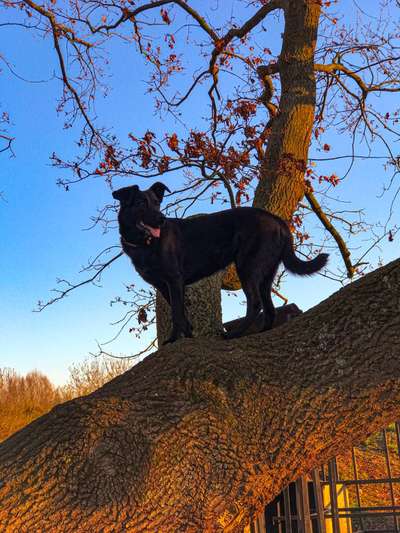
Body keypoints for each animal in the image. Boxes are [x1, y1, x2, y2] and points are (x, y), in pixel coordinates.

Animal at [112, 182, 328, 340]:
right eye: (141, 203)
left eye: (157, 202)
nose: (161, 219)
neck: (144, 243)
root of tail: (276, 219)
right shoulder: (164, 286)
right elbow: (181, 313)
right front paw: (189, 336)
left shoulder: (174, 280)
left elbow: (176, 314)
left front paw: (173, 340)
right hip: (266, 273)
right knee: (270, 308)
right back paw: (262, 332)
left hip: (247, 267)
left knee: (256, 303)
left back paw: (235, 334)